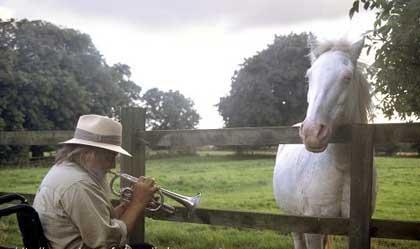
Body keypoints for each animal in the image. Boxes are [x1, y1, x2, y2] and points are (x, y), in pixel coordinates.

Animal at [272, 37, 378, 249]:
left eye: (347, 77)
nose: (311, 132)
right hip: (292, 218)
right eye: (309, 77)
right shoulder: (313, 226)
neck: (344, 167)